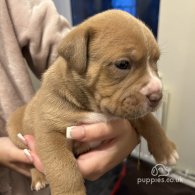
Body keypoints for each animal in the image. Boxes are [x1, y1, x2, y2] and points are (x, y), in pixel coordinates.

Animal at [7, 9, 178, 194]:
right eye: (122, 64)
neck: (93, 108)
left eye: (156, 61)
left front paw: (166, 149)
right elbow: (63, 168)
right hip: (17, 134)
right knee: (28, 157)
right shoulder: (50, 132)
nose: (157, 95)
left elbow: (148, 119)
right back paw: (38, 177)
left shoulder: (128, 106)